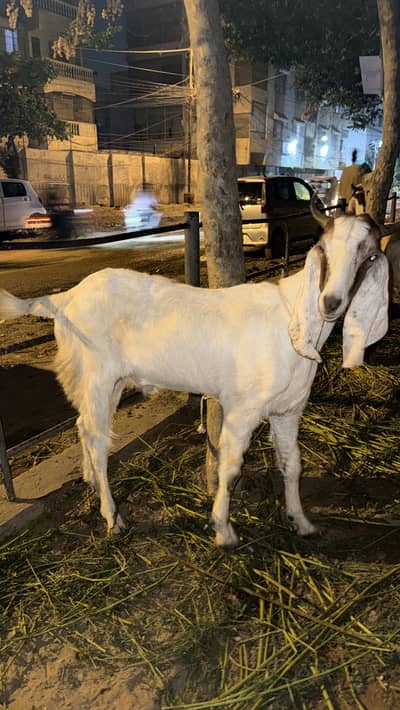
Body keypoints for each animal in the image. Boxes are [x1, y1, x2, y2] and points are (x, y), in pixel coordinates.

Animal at [0, 207, 390, 547]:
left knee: (83, 426)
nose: (330, 303)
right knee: (98, 441)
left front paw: (302, 522)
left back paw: (91, 483)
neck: (292, 319)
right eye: (322, 248)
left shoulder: (289, 409)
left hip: (108, 382)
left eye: (368, 255)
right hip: (97, 375)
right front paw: (223, 531)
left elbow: (293, 465)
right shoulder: (242, 409)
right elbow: (230, 468)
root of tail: (65, 299)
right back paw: (112, 517)